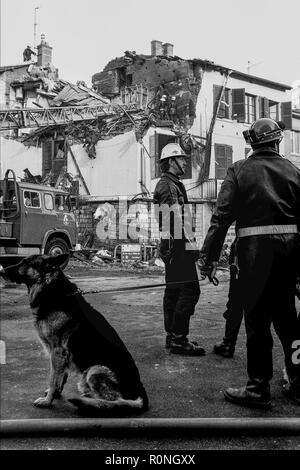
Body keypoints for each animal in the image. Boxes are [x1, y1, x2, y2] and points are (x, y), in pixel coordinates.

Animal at [0, 253, 148, 414]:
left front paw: (48, 401)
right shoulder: (60, 355)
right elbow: (60, 377)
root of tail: (141, 391)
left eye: (25, 262)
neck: (52, 291)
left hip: (95, 370)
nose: (1, 271)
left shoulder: (57, 352)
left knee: (116, 401)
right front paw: (55, 394)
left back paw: (93, 402)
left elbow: (52, 379)